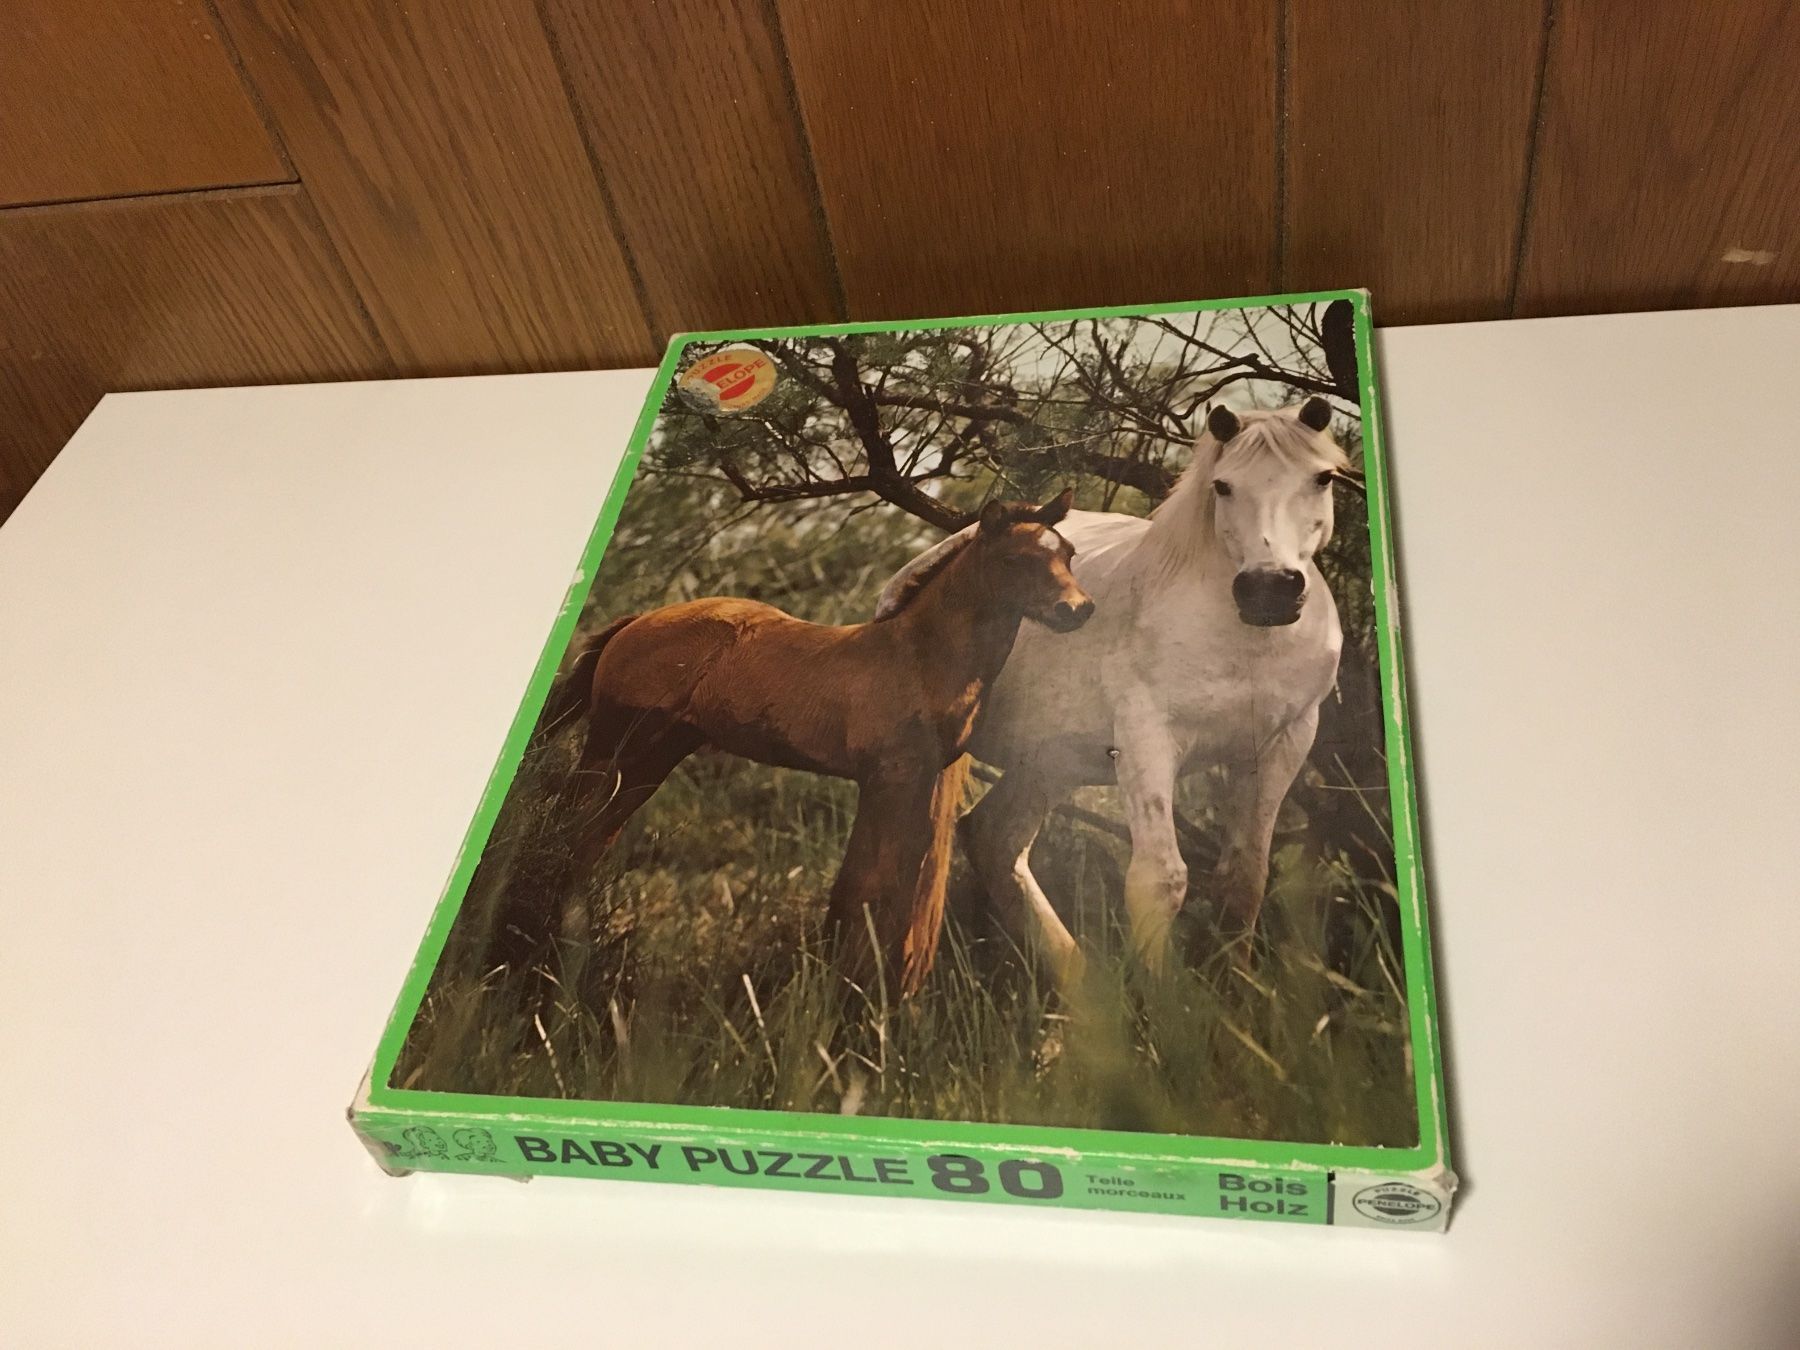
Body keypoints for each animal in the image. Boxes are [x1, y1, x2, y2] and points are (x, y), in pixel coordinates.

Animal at [541, 490, 1093, 996]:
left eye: (1067, 553)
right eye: (1014, 559)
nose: (1077, 610)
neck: (918, 658)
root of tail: (634, 623)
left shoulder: (910, 781)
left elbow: (883, 889)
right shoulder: (892, 778)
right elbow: (870, 890)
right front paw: (851, 1004)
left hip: (654, 755)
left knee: (587, 840)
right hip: (614, 747)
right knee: (567, 834)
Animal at [874, 397, 1351, 975]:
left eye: (1322, 477)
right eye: (1224, 486)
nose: (1270, 590)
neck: (1244, 643)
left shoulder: (1282, 744)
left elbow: (1245, 879)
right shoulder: (1148, 741)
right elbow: (1160, 879)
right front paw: (1163, 996)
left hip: (1050, 763)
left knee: (995, 838)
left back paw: (1080, 984)